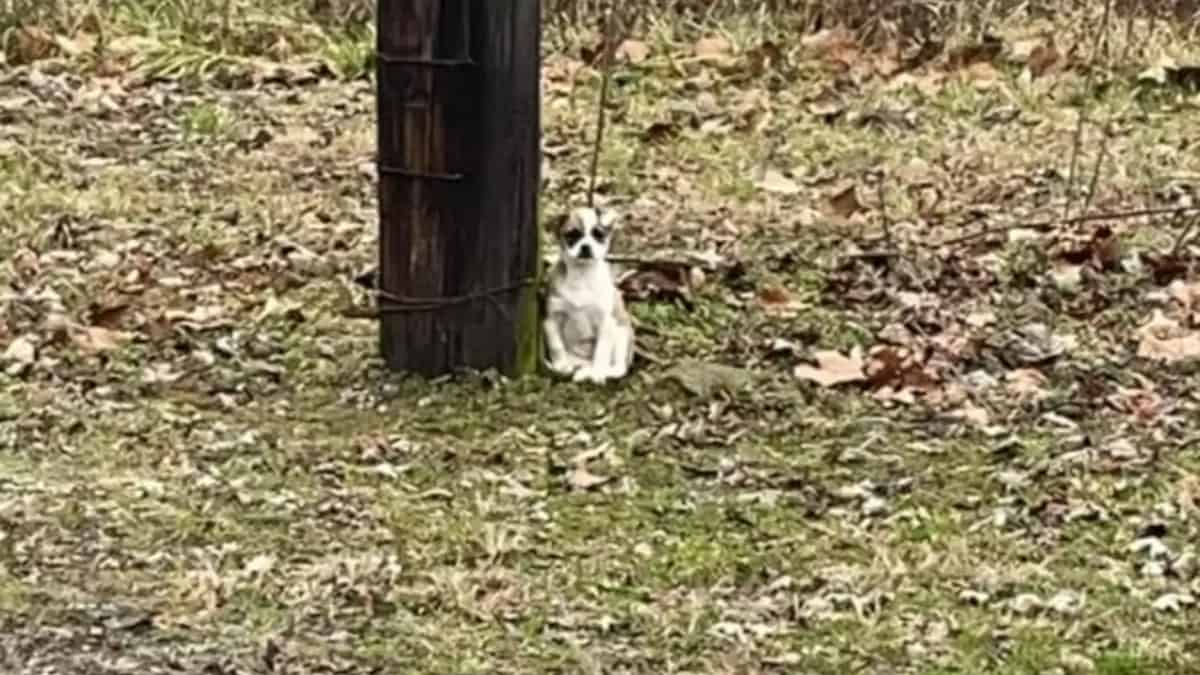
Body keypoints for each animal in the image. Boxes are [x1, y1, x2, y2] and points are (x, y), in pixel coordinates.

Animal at [544, 205, 638, 384]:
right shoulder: (551, 320)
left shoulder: (605, 323)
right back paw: (579, 369)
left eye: (598, 235)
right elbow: (556, 346)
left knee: (619, 369)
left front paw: (598, 373)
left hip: (621, 334)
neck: (582, 276)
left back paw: (598, 372)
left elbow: (601, 351)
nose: (586, 247)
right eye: (572, 235)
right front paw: (560, 365)